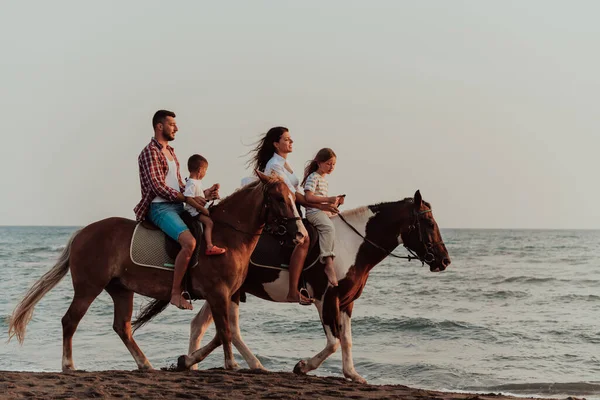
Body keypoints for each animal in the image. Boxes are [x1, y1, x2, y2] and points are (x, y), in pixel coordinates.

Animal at [132, 190, 450, 382]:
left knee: (205, 326)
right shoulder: (325, 298)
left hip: (223, 294)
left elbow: (347, 340)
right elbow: (334, 342)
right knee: (228, 329)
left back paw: (192, 362)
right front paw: (303, 366)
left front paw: (352, 374)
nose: (444, 260)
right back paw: (248, 364)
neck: (351, 244)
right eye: (429, 222)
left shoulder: (347, 302)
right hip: (226, 293)